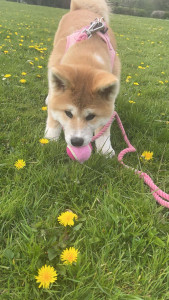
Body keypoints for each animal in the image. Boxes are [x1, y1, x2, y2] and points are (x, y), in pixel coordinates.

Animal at [45, 0, 121, 156]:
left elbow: (104, 128)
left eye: (91, 116)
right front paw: (50, 138)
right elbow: (53, 116)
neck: (86, 54)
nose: (76, 142)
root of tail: (82, 9)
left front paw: (105, 148)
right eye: (68, 113)